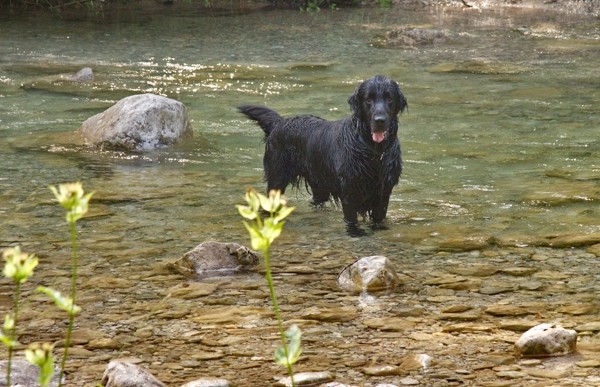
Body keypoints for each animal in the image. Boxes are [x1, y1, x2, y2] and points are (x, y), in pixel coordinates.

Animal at [240, 75, 408, 227]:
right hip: (277, 179)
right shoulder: (349, 193)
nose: (380, 121)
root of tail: (280, 122)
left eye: (389, 98)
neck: (373, 151)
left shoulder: (383, 193)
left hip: (318, 184)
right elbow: (351, 222)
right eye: (368, 100)